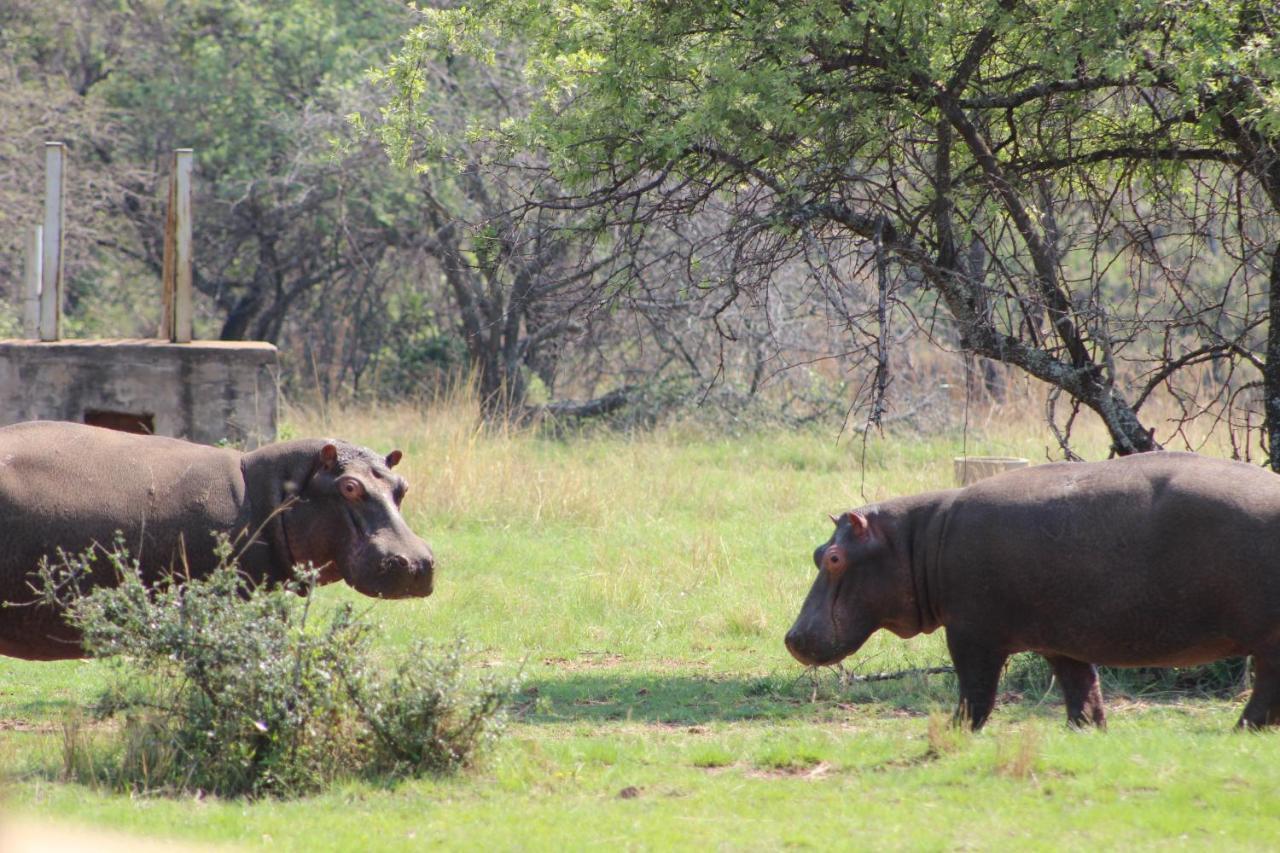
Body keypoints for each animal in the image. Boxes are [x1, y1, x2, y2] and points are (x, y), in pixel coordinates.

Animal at [783, 450, 1280, 732]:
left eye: (834, 558)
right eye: (816, 551)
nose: (790, 637)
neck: (916, 541)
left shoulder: (972, 634)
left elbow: (976, 691)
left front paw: (953, 732)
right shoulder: (1062, 641)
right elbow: (1083, 690)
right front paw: (1088, 732)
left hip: (1268, 640)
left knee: (1266, 690)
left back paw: (1242, 730)